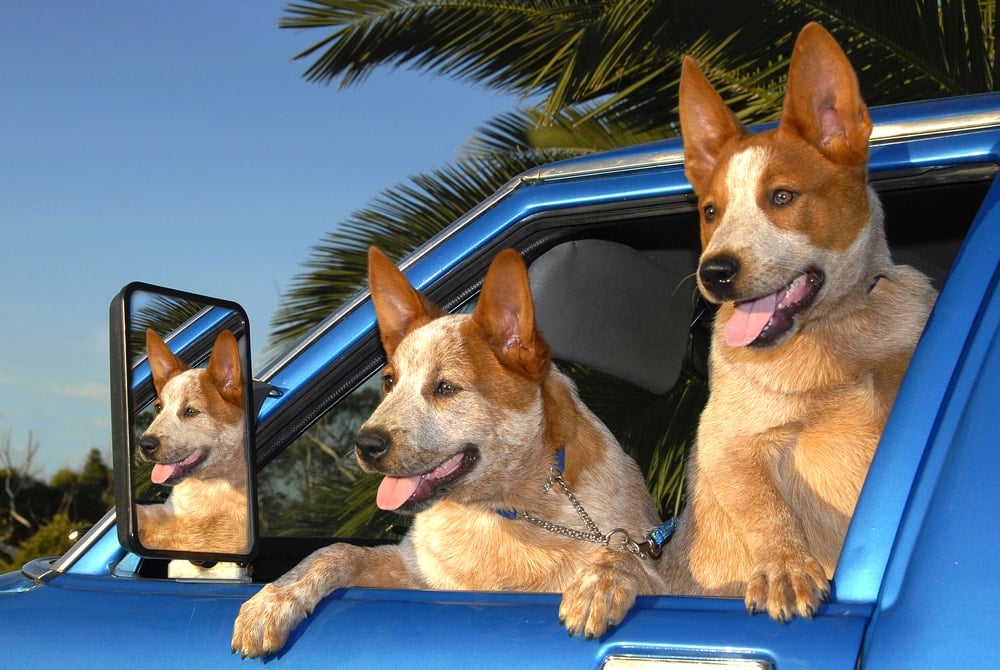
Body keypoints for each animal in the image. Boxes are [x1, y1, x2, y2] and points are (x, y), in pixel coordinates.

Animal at [231, 247, 668, 660]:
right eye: (389, 381)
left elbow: (622, 557)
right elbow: (335, 552)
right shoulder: (417, 573)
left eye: (445, 388)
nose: (365, 444)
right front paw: (272, 600)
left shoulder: (652, 569)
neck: (501, 511)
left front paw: (600, 582)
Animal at [656, 22, 936, 620]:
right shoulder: (728, 440)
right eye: (710, 211)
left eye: (782, 196)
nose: (714, 272)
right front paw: (785, 568)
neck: (833, 336)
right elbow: (764, 508)